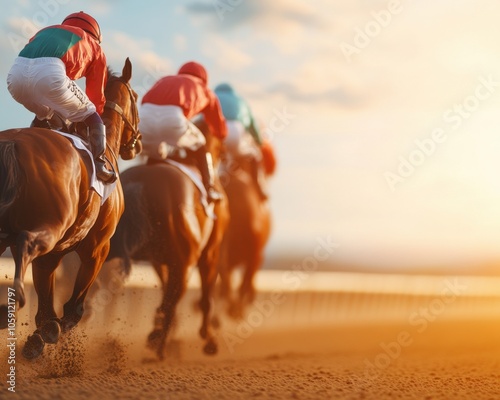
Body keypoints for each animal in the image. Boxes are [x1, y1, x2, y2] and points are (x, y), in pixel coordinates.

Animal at [0, 58, 142, 360]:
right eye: (136, 97)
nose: (137, 144)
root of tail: (13, 143)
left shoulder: (55, 254)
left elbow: (46, 301)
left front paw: (39, 335)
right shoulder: (98, 247)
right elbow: (74, 307)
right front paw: (52, 329)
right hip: (49, 227)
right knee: (25, 243)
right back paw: (12, 302)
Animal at [107, 118, 230, 360]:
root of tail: (141, 183)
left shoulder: (161, 260)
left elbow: (165, 293)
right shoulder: (208, 253)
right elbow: (203, 297)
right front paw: (209, 341)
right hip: (185, 263)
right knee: (173, 301)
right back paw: (159, 346)